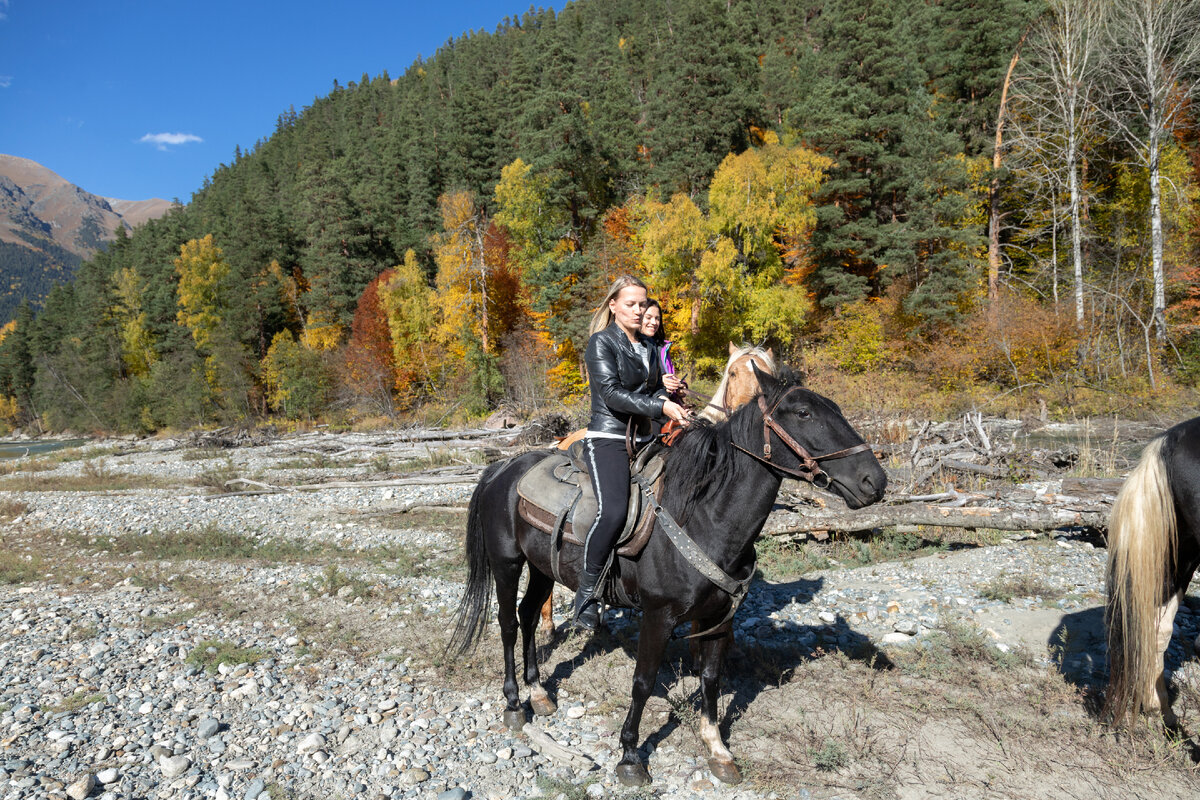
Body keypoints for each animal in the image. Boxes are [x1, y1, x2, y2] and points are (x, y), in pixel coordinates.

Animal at [446, 371, 888, 786]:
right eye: (803, 413)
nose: (875, 482)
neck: (705, 519)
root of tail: (503, 467)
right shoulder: (657, 616)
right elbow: (642, 682)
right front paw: (629, 756)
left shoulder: (717, 620)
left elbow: (710, 679)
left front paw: (717, 749)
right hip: (507, 563)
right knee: (507, 623)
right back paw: (513, 704)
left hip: (542, 568)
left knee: (528, 616)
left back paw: (538, 694)